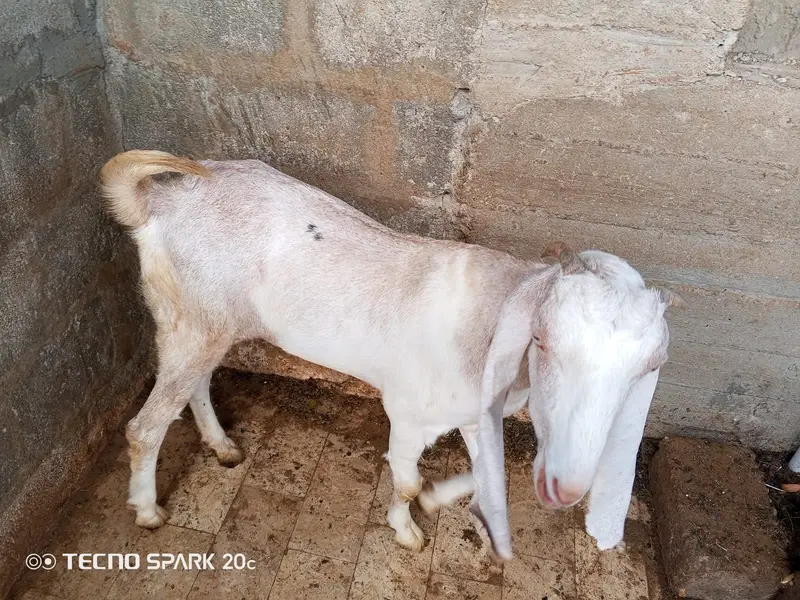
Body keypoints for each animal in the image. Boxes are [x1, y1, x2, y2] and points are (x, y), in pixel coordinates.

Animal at [99, 150, 684, 560]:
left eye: (649, 368)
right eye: (542, 339)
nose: (568, 488)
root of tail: (158, 201)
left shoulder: (471, 412)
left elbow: (483, 473)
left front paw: (448, 507)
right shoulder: (407, 411)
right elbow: (406, 480)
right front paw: (407, 529)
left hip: (204, 324)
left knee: (194, 386)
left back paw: (221, 447)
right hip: (191, 323)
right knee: (145, 427)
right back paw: (148, 510)